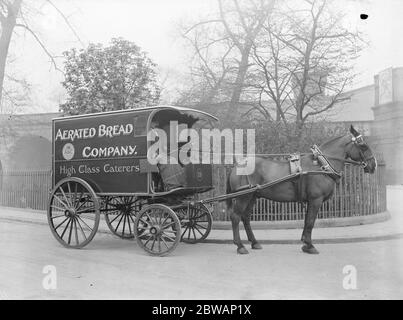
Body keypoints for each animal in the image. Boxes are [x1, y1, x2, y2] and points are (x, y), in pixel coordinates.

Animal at [227, 125, 378, 255]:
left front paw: (305, 244)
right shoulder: (316, 200)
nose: (373, 165)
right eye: (363, 145)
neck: (322, 165)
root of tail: (238, 164)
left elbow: (307, 221)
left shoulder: (310, 201)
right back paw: (240, 246)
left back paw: (254, 242)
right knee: (235, 216)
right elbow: (310, 222)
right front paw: (310, 245)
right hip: (243, 197)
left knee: (245, 217)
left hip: (252, 196)